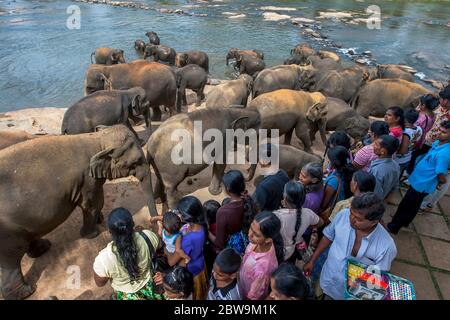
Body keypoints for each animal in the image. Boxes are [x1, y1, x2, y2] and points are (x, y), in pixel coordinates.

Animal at [0, 125, 158, 300]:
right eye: (136, 161)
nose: (153, 223)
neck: (98, 139)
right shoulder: (87, 179)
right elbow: (93, 203)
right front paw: (92, 234)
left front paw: (99, 220)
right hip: (8, 233)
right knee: (11, 258)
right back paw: (26, 292)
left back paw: (43, 248)